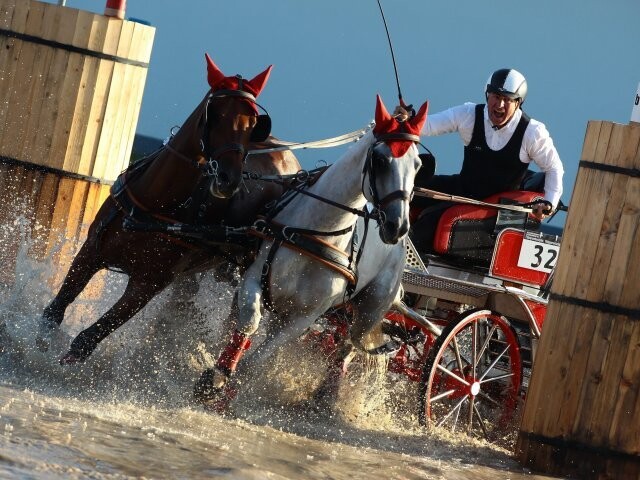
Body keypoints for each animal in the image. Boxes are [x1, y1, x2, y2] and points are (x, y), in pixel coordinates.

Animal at [36, 54, 302, 364]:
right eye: (216, 115)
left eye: (252, 124)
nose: (229, 179)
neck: (154, 204)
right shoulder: (91, 251)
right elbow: (55, 312)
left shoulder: (146, 287)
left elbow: (86, 340)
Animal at [192, 94, 428, 408]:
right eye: (380, 160)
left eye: (417, 164)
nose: (397, 225)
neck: (316, 233)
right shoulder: (256, 280)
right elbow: (248, 324)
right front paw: (215, 377)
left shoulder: (303, 318)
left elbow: (256, 362)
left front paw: (226, 393)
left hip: (369, 309)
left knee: (348, 344)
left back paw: (326, 396)